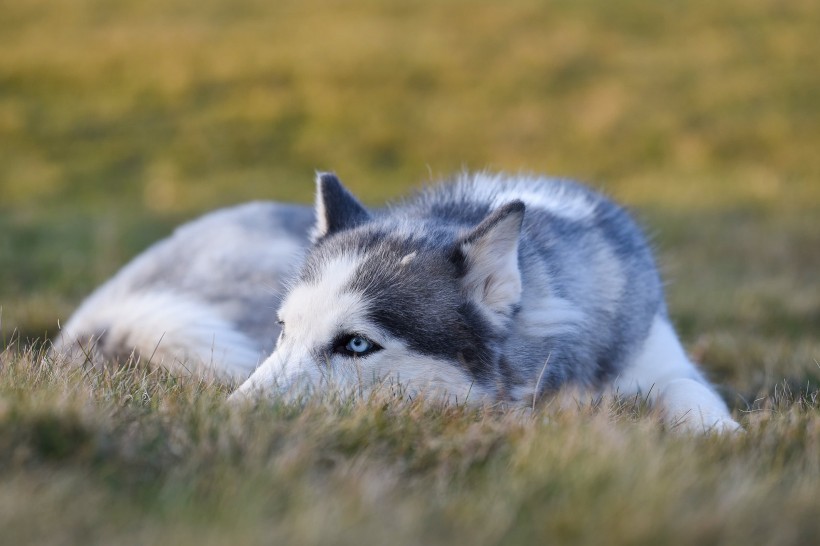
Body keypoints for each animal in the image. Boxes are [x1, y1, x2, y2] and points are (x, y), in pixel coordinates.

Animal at [232, 172, 744, 432]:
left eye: (357, 345)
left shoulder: (659, 359)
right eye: (284, 329)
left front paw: (719, 433)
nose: (232, 413)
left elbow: (688, 390)